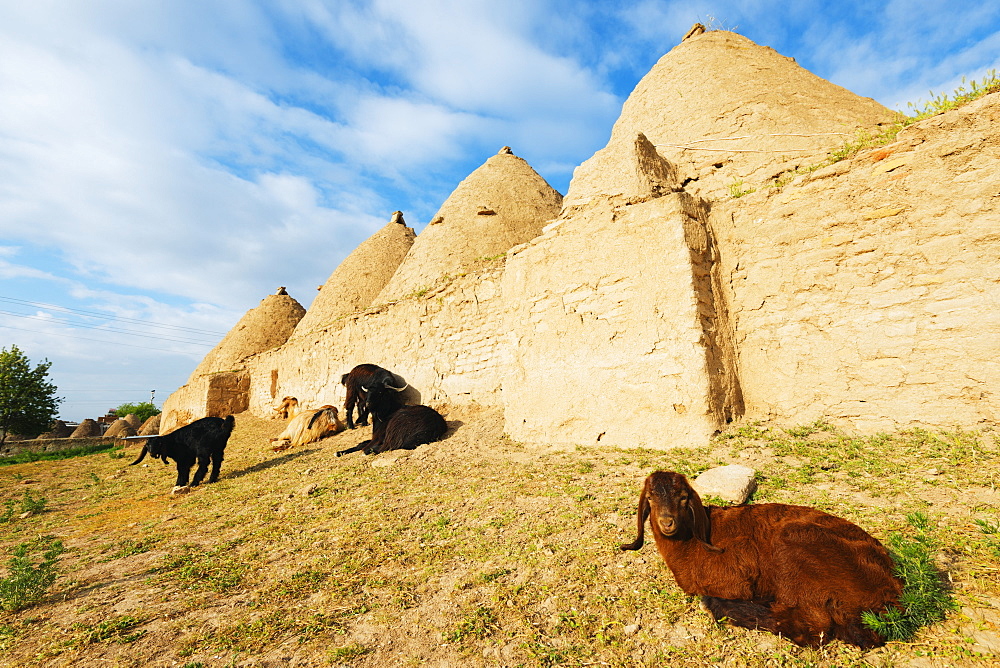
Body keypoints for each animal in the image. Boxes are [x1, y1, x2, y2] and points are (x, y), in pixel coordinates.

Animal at [620, 470, 904, 648]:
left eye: (683, 498)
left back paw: (724, 606)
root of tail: (890, 592)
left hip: (793, 546)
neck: (694, 541)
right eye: (650, 498)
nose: (667, 523)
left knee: (813, 629)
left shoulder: (735, 580)